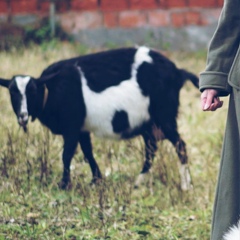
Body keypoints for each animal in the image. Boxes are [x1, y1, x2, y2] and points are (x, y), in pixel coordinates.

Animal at [0, 46, 199, 189]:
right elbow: (87, 152)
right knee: (152, 148)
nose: (23, 116)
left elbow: (67, 155)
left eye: (32, 91)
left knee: (180, 145)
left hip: (165, 116)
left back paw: (185, 185)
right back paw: (139, 182)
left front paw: (64, 184)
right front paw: (97, 180)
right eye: (12, 92)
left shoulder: (72, 127)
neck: (53, 89)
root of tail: (178, 72)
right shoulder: (81, 128)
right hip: (149, 123)